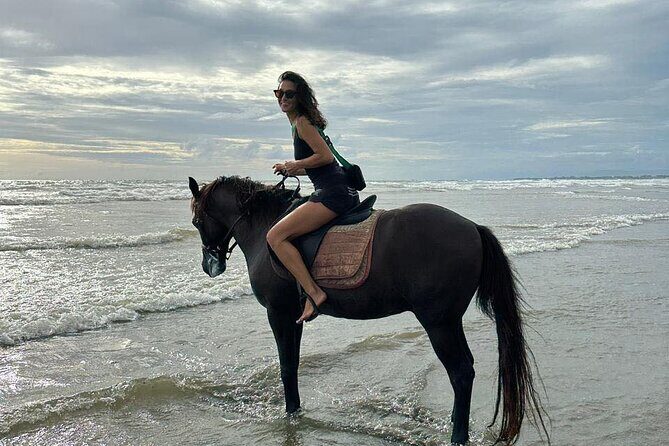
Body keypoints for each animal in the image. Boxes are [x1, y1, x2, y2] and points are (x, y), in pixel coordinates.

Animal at [188, 175, 548, 445]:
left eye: (196, 220)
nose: (210, 265)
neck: (267, 229)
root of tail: (472, 227)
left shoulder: (278, 312)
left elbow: (287, 366)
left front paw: (290, 414)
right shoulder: (293, 316)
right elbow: (293, 363)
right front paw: (295, 409)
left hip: (439, 322)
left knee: (460, 371)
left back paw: (457, 436)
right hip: (448, 321)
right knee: (466, 369)